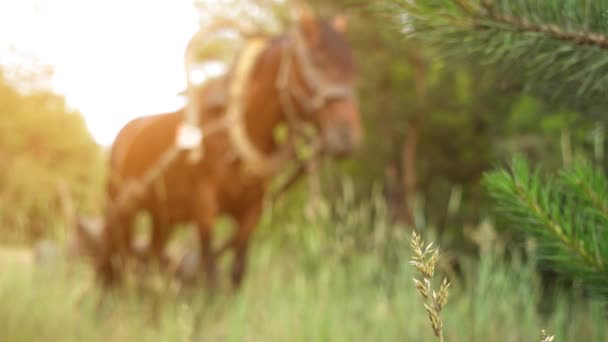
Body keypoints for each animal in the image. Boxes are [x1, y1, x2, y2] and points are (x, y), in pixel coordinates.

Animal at [91, 10, 360, 288]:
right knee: (112, 259)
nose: (348, 137)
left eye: (353, 69)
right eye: (318, 61)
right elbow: (210, 275)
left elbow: (236, 273)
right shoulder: (205, 211)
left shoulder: (251, 214)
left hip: (162, 217)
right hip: (120, 208)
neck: (233, 139)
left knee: (150, 260)